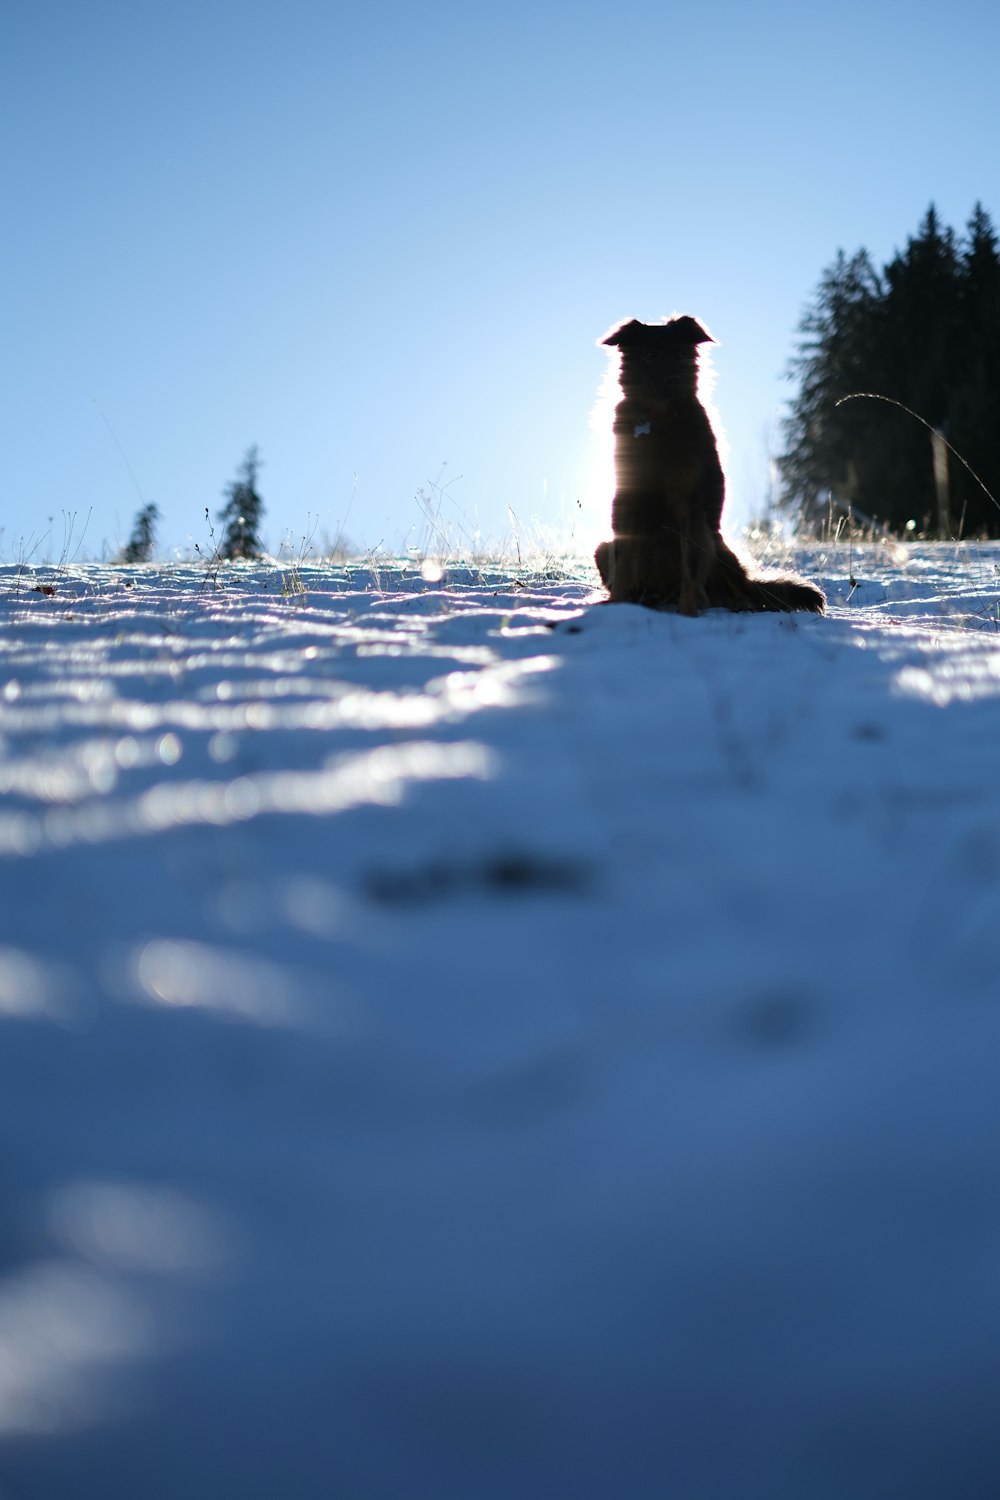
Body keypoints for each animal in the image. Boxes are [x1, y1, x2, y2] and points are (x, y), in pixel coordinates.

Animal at [599, 316, 827, 615]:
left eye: (680, 353)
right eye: (649, 355)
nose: (673, 380)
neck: (660, 422)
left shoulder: (690, 506)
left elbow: (689, 567)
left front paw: (688, 612)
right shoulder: (627, 501)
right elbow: (624, 560)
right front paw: (616, 605)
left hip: (714, 542)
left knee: (733, 590)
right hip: (602, 547)